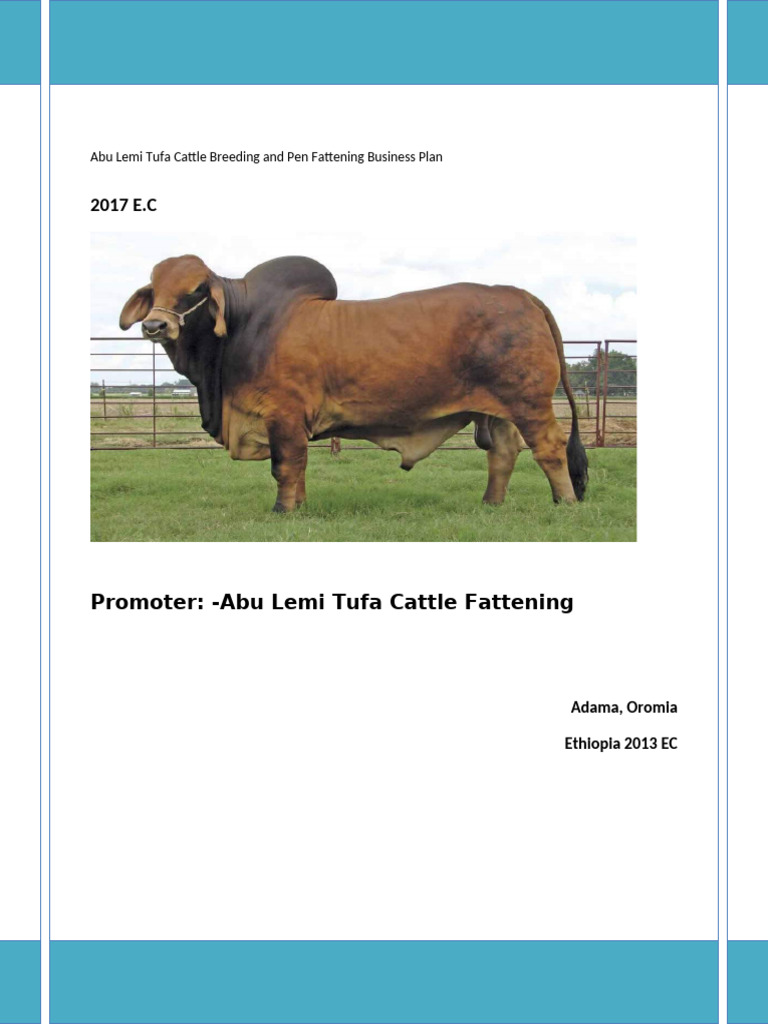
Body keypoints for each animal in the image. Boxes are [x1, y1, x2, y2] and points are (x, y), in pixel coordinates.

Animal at [120, 255, 588, 512]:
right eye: (155, 288)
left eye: (196, 289)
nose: (155, 326)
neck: (244, 324)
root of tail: (521, 295)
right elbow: (298, 467)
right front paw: (299, 507)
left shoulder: (283, 415)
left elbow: (285, 466)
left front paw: (282, 511)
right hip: (499, 409)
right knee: (503, 453)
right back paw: (491, 503)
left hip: (530, 403)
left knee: (549, 448)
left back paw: (566, 503)